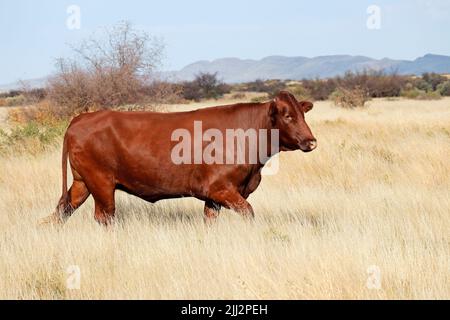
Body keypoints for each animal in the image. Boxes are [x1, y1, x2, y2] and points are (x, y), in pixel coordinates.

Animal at [41, 90, 316, 225]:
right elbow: (249, 213)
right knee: (104, 217)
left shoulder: (213, 198)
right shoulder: (221, 189)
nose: (311, 141)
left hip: (82, 183)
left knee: (61, 211)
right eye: (288, 116)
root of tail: (81, 118)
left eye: (303, 114)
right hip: (101, 183)